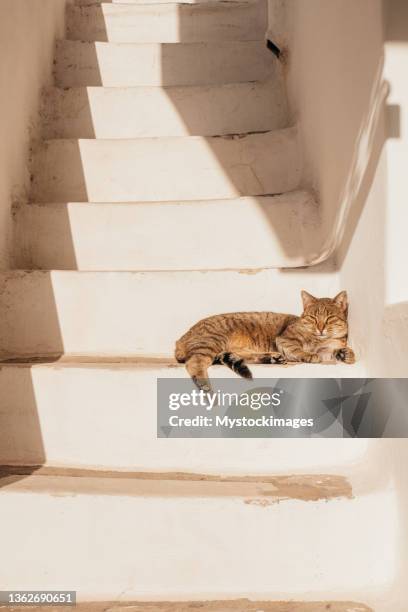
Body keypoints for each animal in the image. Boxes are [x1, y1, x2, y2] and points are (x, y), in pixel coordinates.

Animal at [175, 290, 354, 390]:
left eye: (330, 318)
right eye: (313, 318)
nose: (321, 328)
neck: (319, 340)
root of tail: (180, 340)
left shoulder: (327, 350)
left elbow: (334, 351)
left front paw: (346, 354)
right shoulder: (285, 339)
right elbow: (298, 349)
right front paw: (309, 355)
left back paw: (272, 358)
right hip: (211, 342)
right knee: (194, 363)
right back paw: (205, 386)